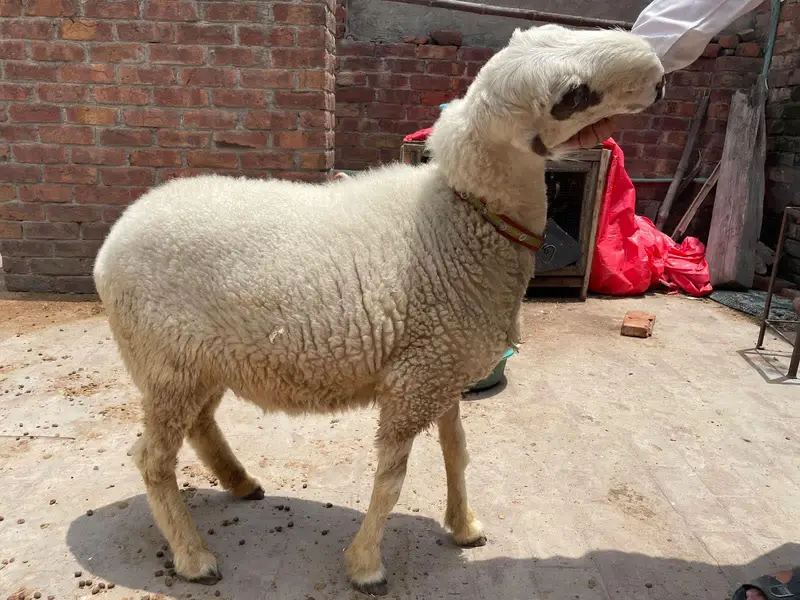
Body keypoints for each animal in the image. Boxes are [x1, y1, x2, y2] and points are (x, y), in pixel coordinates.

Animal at [93, 24, 665, 595]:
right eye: (574, 94)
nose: (659, 76)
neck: (465, 219)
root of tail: (115, 236)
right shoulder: (416, 379)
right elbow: (392, 479)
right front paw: (366, 564)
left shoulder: (443, 365)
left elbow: (457, 452)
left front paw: (464, 526)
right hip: (167, 363)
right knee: (153, 459)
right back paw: (193, 556)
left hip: (199, 362)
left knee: (200, 425)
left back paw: (241, 483)